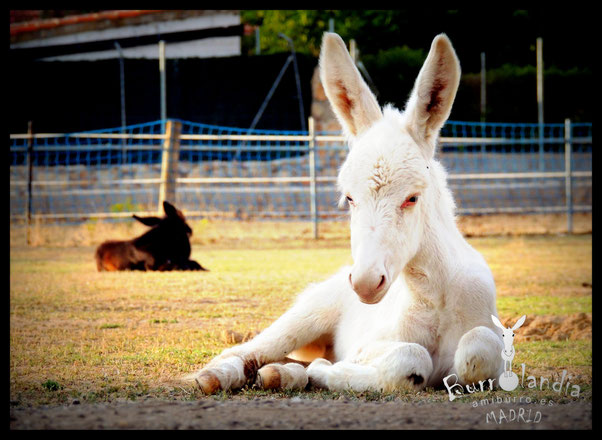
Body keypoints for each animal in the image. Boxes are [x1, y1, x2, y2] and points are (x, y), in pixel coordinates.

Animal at [190, 32, 504, 394]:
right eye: (349, 198)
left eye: (412, 198)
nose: (366, 282)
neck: (436, 298)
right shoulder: (366, 347)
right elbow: (412, 358)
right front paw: (330, 373)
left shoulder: (496, 349)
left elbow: (477, 350)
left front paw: (321, 373)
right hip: (306, 316)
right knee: (249, 350)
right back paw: (216, 376)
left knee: (287, 362)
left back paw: (280, 375)